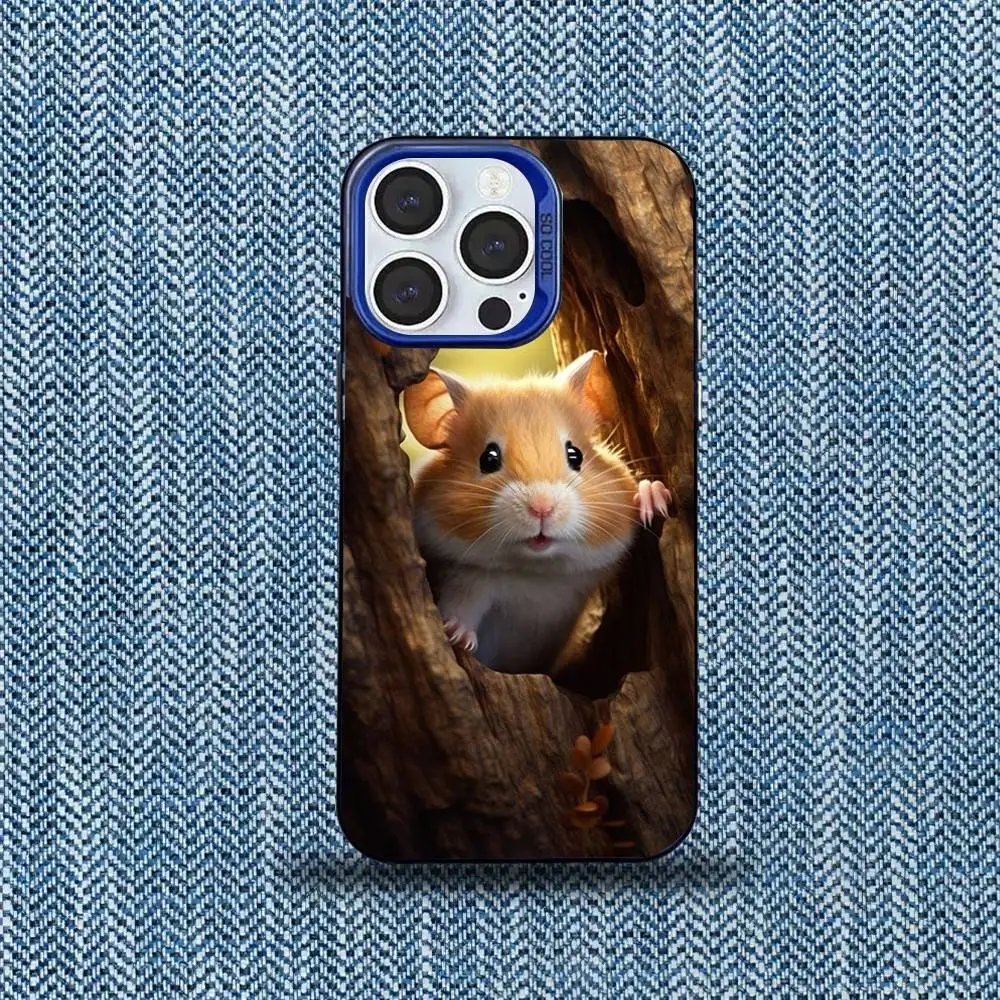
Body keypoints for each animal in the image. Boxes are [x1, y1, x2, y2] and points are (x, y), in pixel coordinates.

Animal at [402, 350, 671, 675]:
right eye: (488, 459)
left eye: (575, 455)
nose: (542, 507)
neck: (535, 572)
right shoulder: (467, 580)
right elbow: (459, 607)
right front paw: (456, 635)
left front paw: (654, 497)